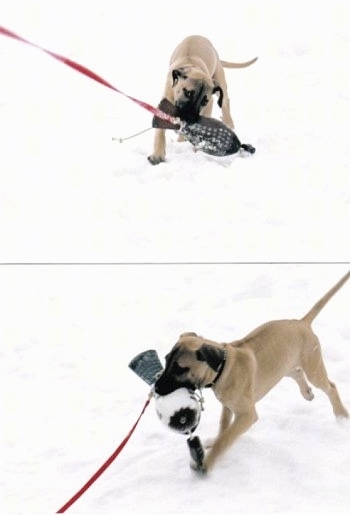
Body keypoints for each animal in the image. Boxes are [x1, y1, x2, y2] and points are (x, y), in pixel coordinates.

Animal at [148, 34, 258, 163]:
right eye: (188, 93)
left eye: (204, 101)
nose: (191, 118)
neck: (190, 64)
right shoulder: (167, 98)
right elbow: (160, 131)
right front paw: (157, 155)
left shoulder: (209, 104)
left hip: (219, 80)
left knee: (225, 102)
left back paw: (228, 122)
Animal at [154, 272, 348, 474]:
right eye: (166, 360)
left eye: (179, 368)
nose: (155, 387)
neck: (223, 367)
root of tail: (301, 323)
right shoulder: (227, 406)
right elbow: (223, 427)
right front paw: (213, 442)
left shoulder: (246, 415)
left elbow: (226, 438)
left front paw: (207, 462)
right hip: (284, 365)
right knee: (296, 374)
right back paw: (307, 392)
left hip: (312, 366)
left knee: (330, 387)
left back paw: (341, 415)